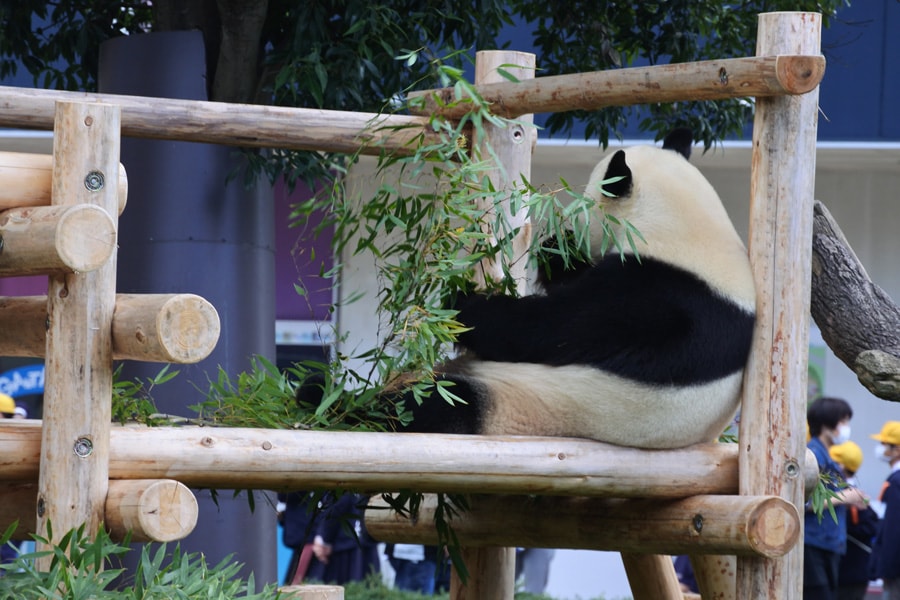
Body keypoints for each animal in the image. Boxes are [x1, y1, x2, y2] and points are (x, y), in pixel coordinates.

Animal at [388, 131, 760, 450]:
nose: (568, 229)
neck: (687, 232)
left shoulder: (653, 298)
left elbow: (543, 330)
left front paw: (461, 303)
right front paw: (557, 250)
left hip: (522, 406)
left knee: (434, 406)